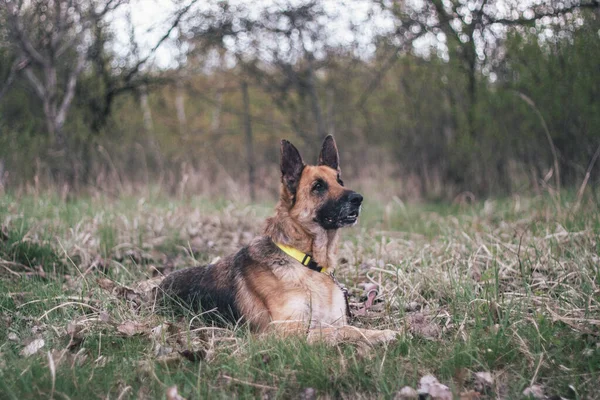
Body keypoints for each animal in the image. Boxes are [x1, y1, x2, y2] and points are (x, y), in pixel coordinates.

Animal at [158, 136, 398, 346]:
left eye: (340, 181)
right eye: (318, 186)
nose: (358, 199)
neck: (307, 262)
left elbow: (347, 327)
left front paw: (378, 333)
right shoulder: (287, 331)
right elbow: (342, 329)